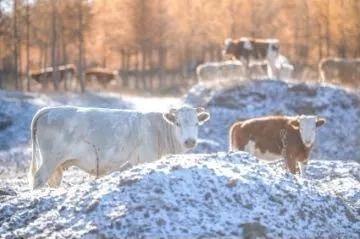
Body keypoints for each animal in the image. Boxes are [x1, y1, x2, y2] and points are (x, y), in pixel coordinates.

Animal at [28, 105, 211, 190]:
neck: (159, 130)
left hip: (57, 166)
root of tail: (49, 109)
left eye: (197, 123)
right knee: (38, 178)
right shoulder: (146, 158)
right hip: (50, 160)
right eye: (178, 123)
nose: (190, 141)